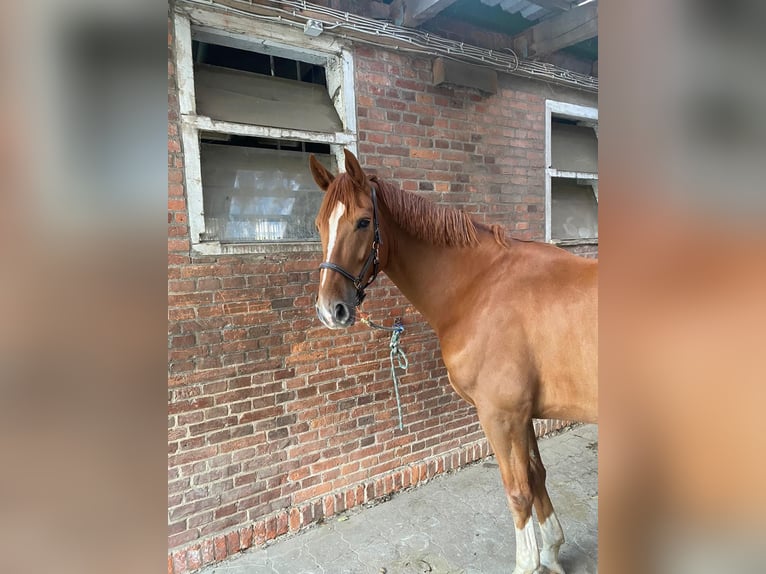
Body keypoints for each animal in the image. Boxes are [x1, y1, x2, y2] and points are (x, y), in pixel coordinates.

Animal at [308, 151, 596, 572]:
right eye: (319, 225)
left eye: (362, 222)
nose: (331, 310)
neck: (480, 287)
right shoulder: (522, 415)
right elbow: (537, 475)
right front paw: (552, 552)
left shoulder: (500, 416)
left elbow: (518, 492)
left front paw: (530, 562)